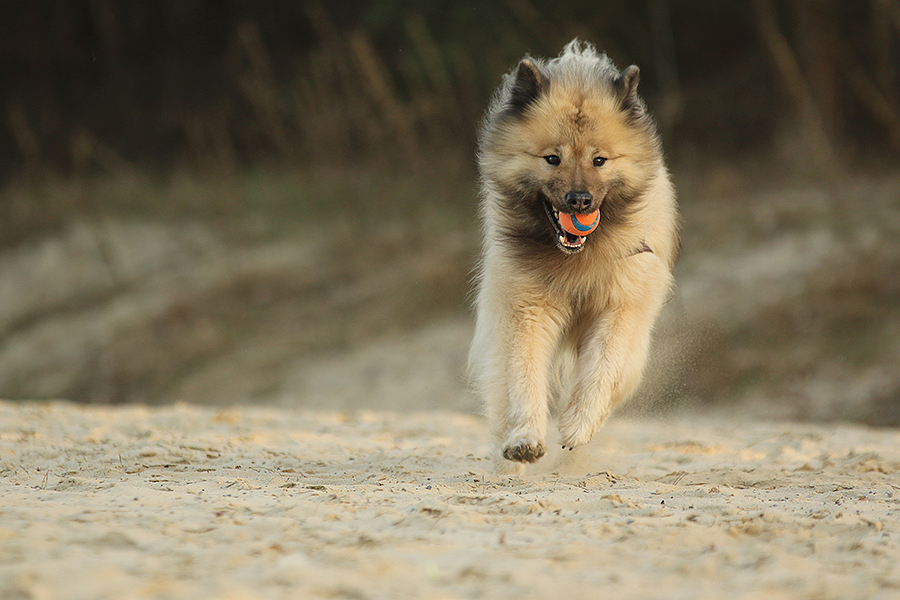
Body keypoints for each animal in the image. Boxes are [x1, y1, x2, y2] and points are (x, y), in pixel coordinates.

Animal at [468, 41, 680, 474]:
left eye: (599, 160)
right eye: (553, 159)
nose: (579, 200)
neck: (577, 260)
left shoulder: (622, 309)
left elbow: (604, 368)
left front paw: (578, 425)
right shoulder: (526, 312)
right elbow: (523, 377)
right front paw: (525, 440)